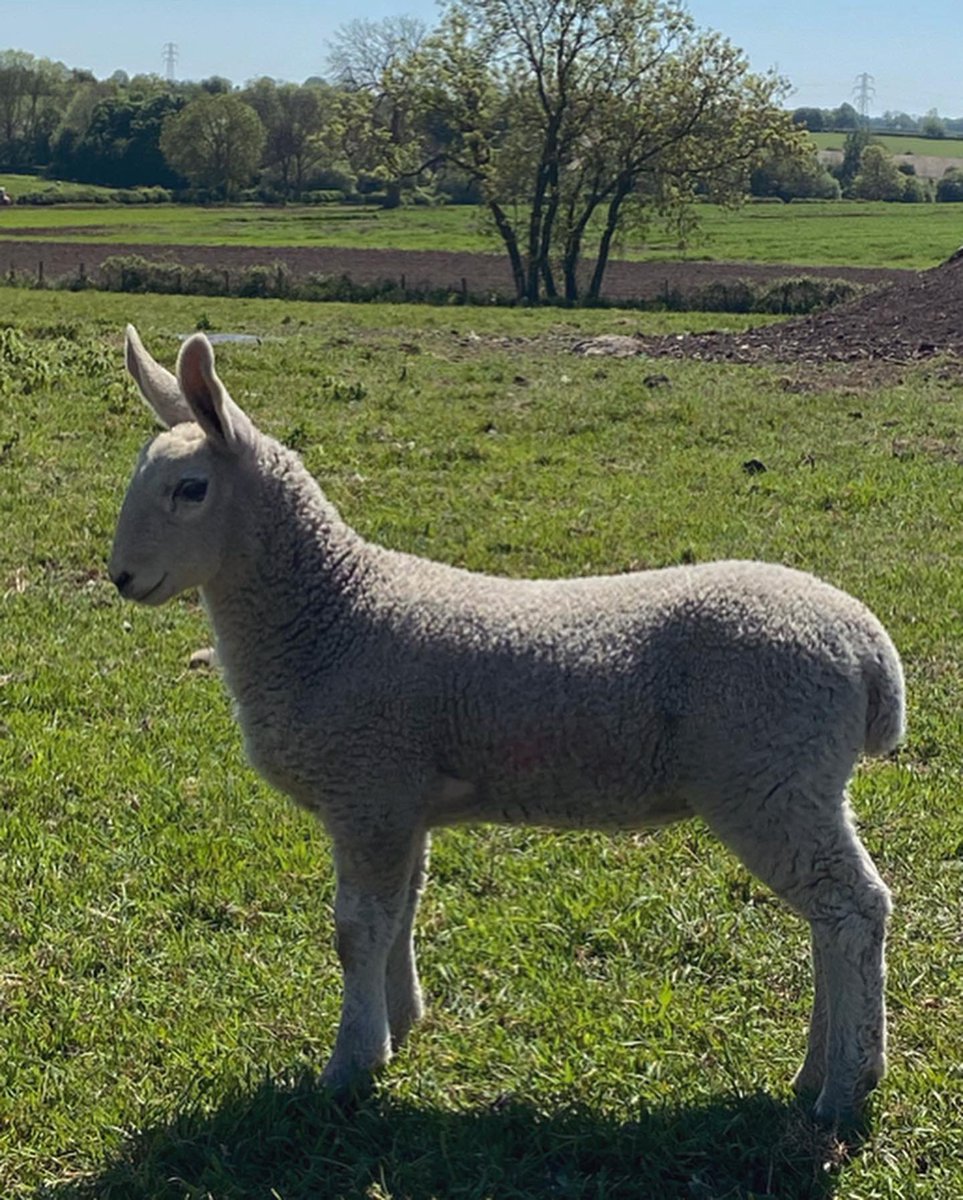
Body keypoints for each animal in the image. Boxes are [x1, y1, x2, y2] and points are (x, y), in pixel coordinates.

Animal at [109, 325, 905, 1126]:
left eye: (190, 489)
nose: (120, 578)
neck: (331, 610)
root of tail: (868, 647)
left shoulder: (366, 786)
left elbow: (356, 930)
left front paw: (351, 1064)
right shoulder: (401, 801)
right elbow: (403, 909)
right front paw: (402, 1021)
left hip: (769, 774)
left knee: (852, 909)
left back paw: (846, 1086)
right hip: (801, 780)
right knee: (830, 917)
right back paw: (820, 1071)